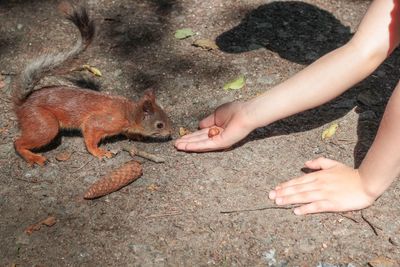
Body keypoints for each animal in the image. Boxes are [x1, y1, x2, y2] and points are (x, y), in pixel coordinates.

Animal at [12, 4, 172, 166]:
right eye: (159, 125)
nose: (170, 133)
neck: (129, 113)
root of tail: (22, 104)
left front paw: (136, 136)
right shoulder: (102, 122)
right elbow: (90, 135)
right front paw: (99, 152)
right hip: (45, 124)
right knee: (18, 142)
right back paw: (33, 157)